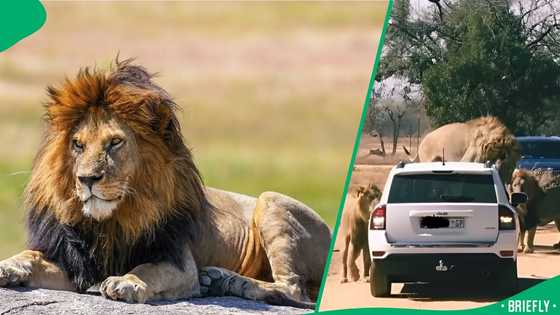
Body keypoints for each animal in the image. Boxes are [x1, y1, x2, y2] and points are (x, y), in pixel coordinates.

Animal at [0, 59, 332, 308]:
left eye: (115, 142)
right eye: (77, 145)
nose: (87, 179)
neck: (112, 221)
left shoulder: (178, 263)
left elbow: (147, 269)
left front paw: (126, 281)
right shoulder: (74, 262)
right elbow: (31, 256)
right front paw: (8, 266)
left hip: (271, 201)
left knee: (293, 289)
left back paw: (229, 281)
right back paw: (219, 280)